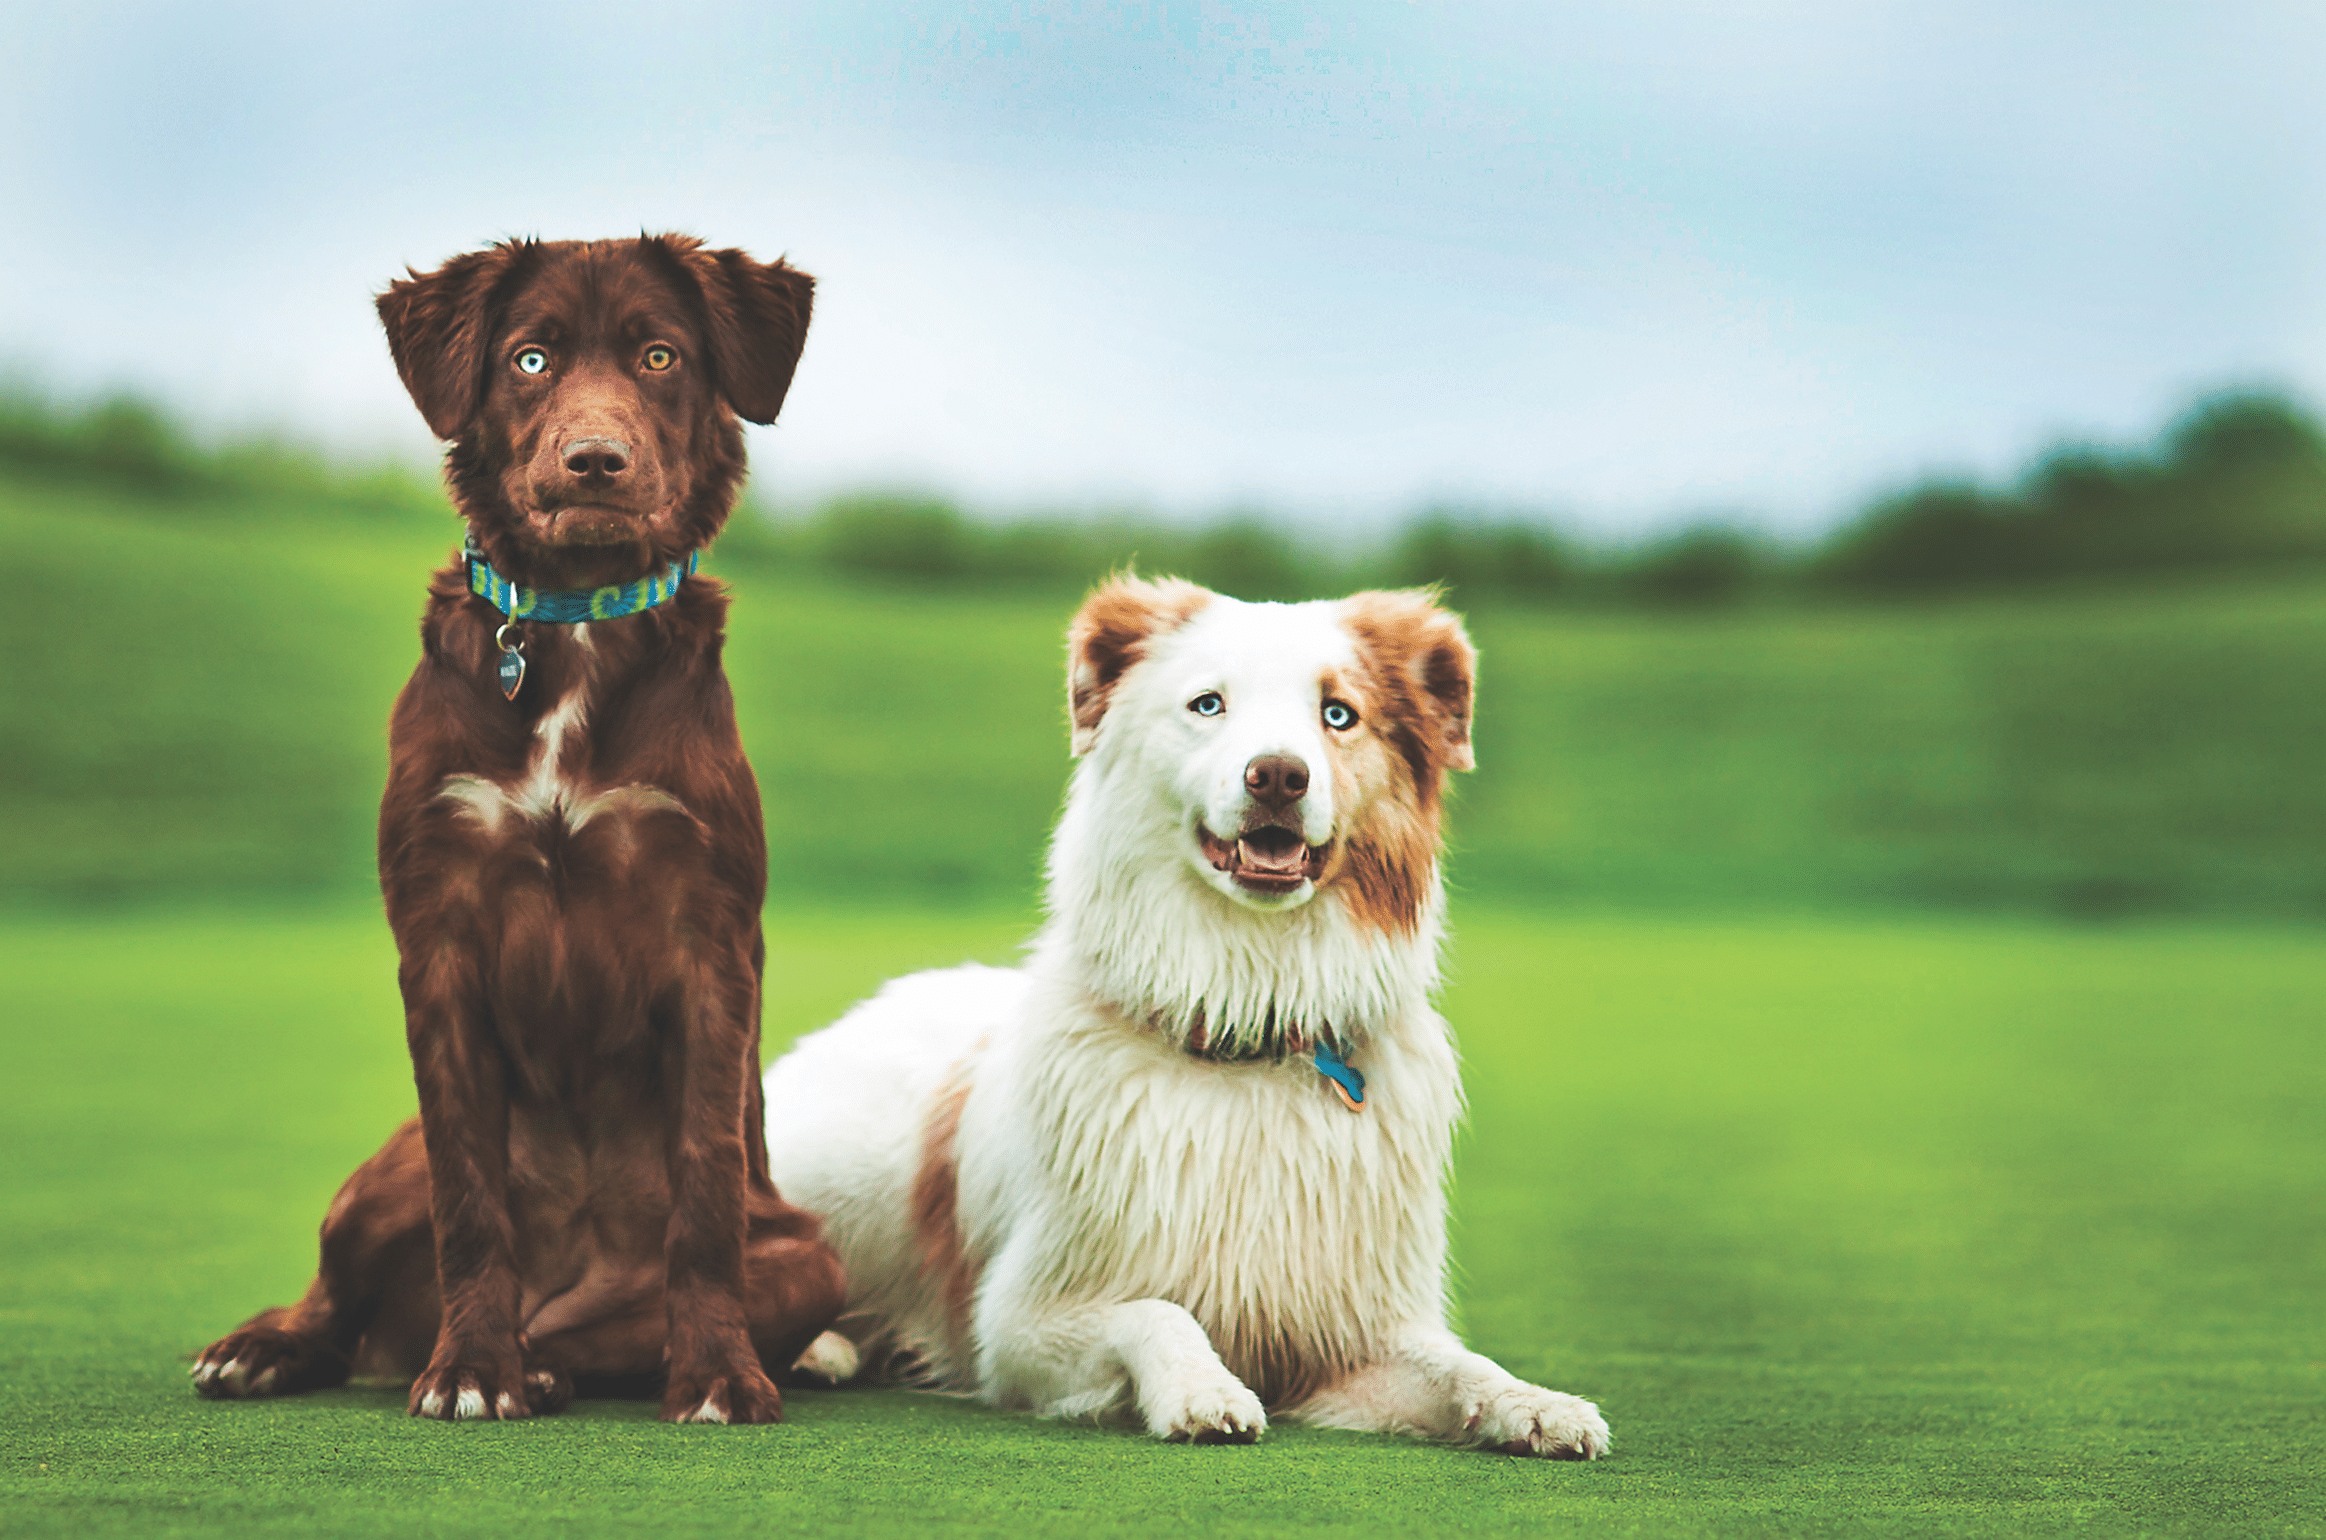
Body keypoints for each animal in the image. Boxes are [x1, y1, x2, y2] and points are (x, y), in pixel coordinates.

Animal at [193, 234, 846, 1432]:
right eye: (530, 358)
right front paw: (471, 1369)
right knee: (336, 1298)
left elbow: (704, 1196)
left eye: (659, 355)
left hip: (809, 1256)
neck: (575, 625)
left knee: (612, 1327)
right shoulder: (440, 942)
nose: (595, 462)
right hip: (379, 1178)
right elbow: (471, 1198)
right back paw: (279, 1348)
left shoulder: (709, 945)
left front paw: (720, 1375)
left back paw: (559, 1360)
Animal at [772, 579, 1609, 1460]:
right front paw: (1204, 1389)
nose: (1277, 775)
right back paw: (820, 1349)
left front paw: (1538, 1405)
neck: (1245, 1022)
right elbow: (1159, 1311)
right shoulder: (1022, 1324)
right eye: (1209, 704)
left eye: (1338, 714)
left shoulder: (1358, 1333)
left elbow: (1462, 1366)